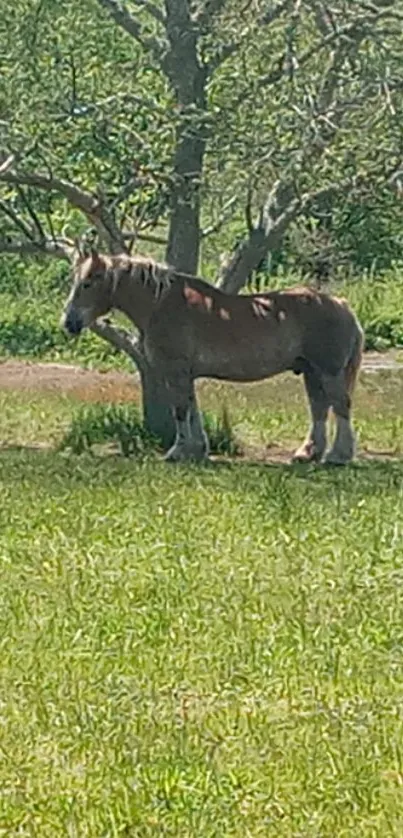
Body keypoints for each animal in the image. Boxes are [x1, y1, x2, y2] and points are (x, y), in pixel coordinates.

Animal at [60, 249, 366, 466]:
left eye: (87, 283)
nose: (69, 322)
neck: (162, 305)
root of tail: (340, 304)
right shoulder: (185, 374)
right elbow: (191, 409)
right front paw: (197, 450)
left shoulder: (176, 371)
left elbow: (180, 409)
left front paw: (178, 451)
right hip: (311, 371)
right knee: (319, 408)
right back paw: (308, 453)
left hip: (328, 371)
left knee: (340, 406)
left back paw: (338, 456)